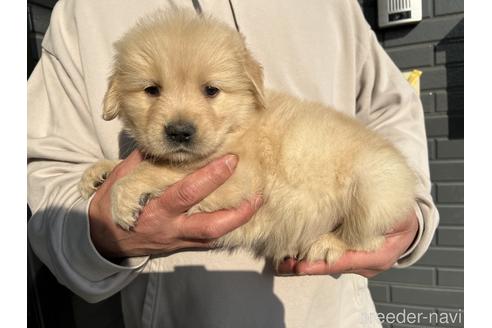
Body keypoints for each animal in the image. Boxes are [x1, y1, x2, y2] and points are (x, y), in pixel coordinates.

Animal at [79, 10, 418, 266]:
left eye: (211, 90)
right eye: (151, 90)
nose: (179, 132)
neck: (237, 125)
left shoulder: (239, 177)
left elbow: (162, 167)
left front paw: (124, 193)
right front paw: (99, 172)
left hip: (373, 190)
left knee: (366, 237)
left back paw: (326, 244)